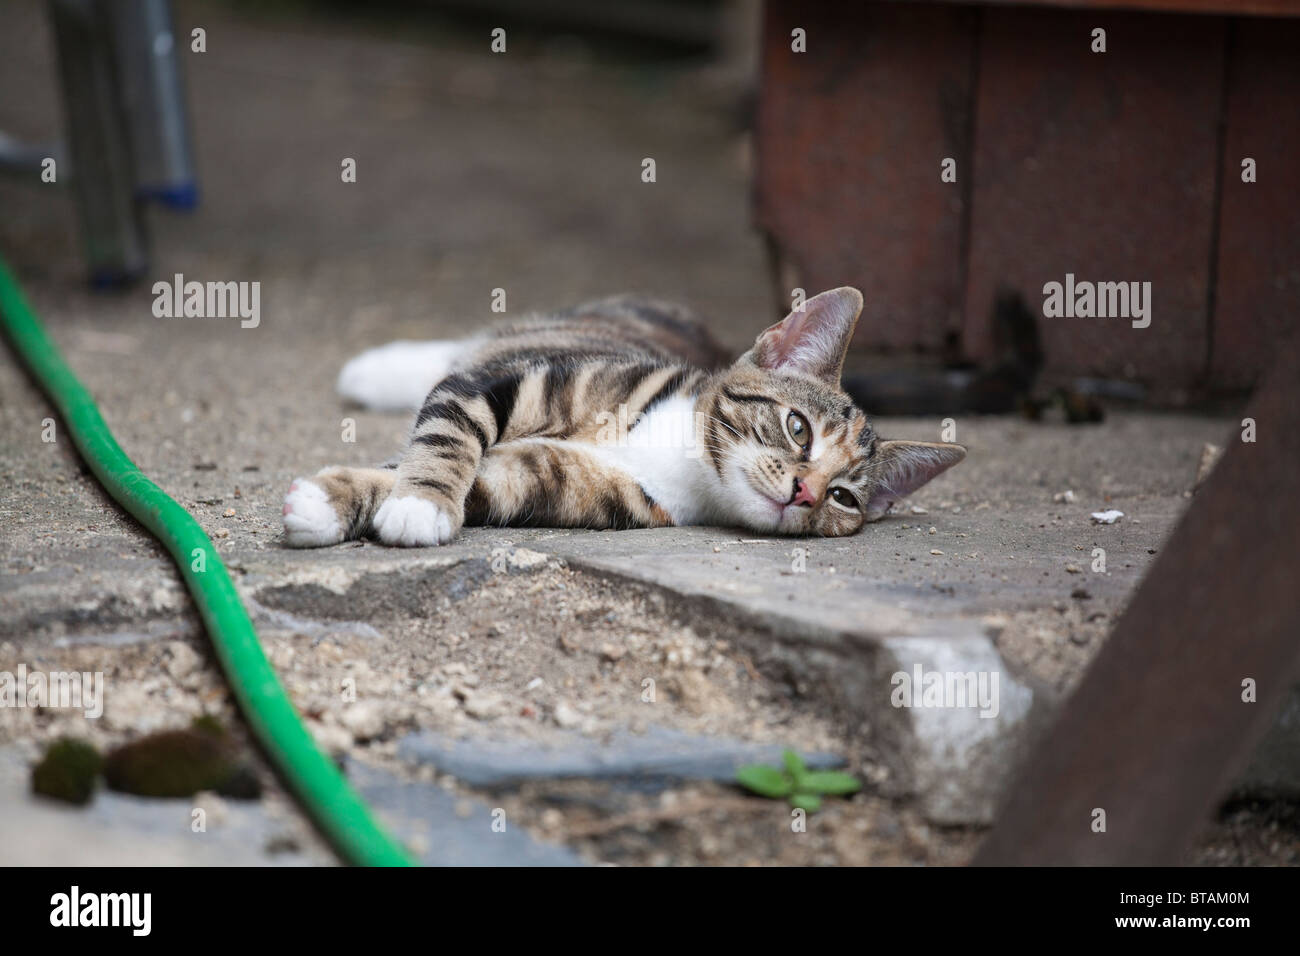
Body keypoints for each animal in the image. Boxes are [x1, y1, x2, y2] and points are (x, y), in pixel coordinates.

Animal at [287, 287, 977, 548]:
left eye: (844, 498)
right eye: (798, 428)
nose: (805, 492)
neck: (685, 459)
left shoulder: (553, 480)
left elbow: (478, 483)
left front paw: (345, 501)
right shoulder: (516, 381)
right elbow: (447, 430)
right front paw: (418, 501)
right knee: (460, 353)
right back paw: (375, 369)